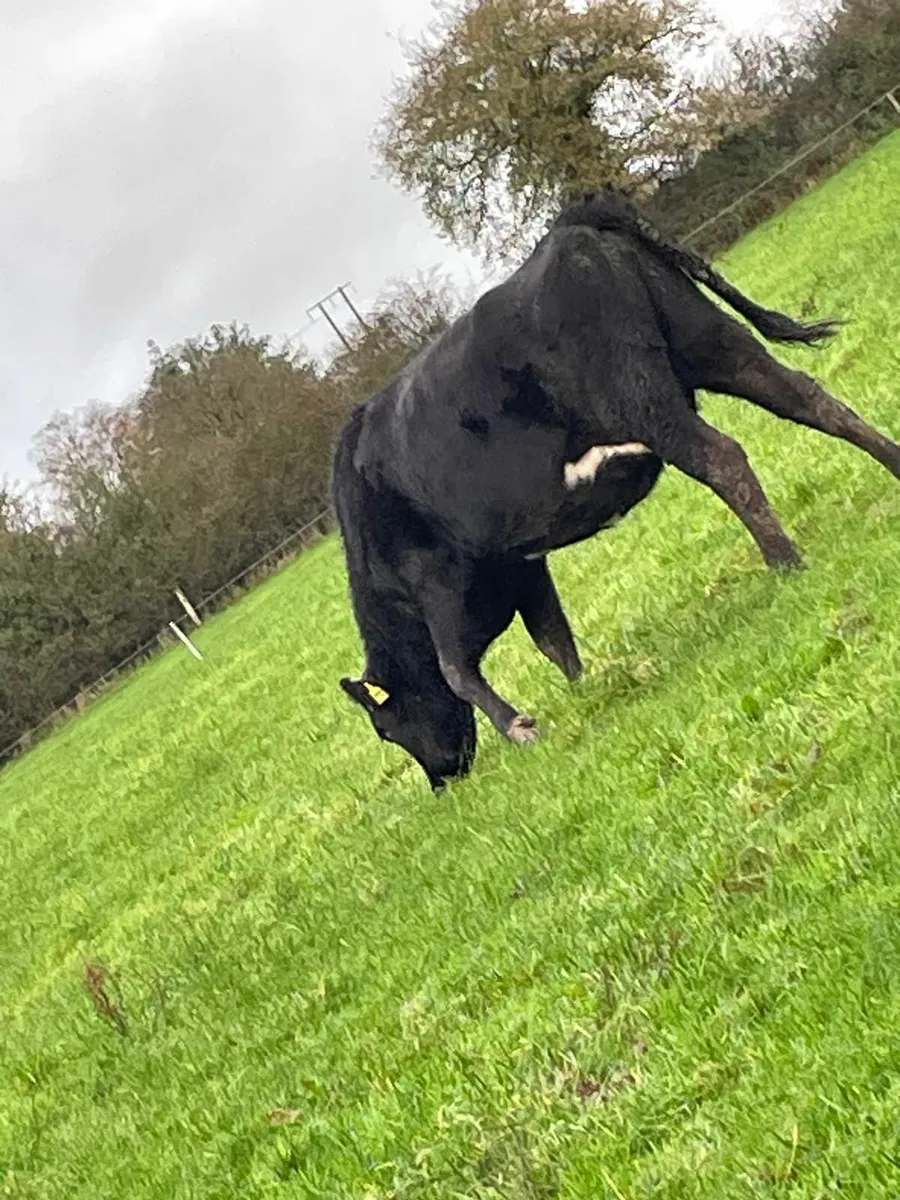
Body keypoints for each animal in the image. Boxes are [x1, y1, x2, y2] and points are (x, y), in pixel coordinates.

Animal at [332, 186, 900, 791]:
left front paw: (522, 729)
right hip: (718, 348)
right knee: (812, 400)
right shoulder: (522, 560)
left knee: (723, 459)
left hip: (645, 400)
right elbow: (553, 637)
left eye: (388, 730)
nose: (443, 782)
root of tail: (570, 228)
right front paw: (587, 692)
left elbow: (457, 670)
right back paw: (894, 466)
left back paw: (784, 563)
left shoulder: (436, 583)